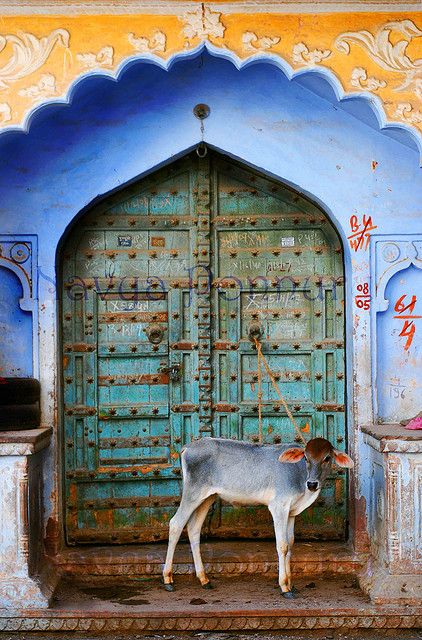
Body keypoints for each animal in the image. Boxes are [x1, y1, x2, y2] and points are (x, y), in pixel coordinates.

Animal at [163, 438, 354, 596]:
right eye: (306, 458)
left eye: (327, 458)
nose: (312, 483)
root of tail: (188, 447)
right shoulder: (278, 507)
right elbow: (282, 546)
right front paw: (284, 587)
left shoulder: (291, 512)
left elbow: (291, 544)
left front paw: (291, 584)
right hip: (193, 493)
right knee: (176, 524)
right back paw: (168, 579)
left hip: (207, 497)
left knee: (193, 528)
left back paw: (204, 579)